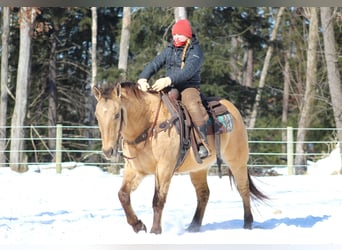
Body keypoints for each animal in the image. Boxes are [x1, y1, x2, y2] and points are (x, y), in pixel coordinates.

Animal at [93, 82, 268, 234]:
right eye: (97, 115)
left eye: (117, 114)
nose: (107, 150)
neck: (148, 126)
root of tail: (232, 108)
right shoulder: (135, 169)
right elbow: (123, 195)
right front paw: (138, 225)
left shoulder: (164, 168)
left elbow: (158, 199)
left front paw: (155, 231)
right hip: (198, 169)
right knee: (203, 194)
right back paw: (193, 226)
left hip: (237, 161)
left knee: (243, 189)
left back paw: (247, 223)